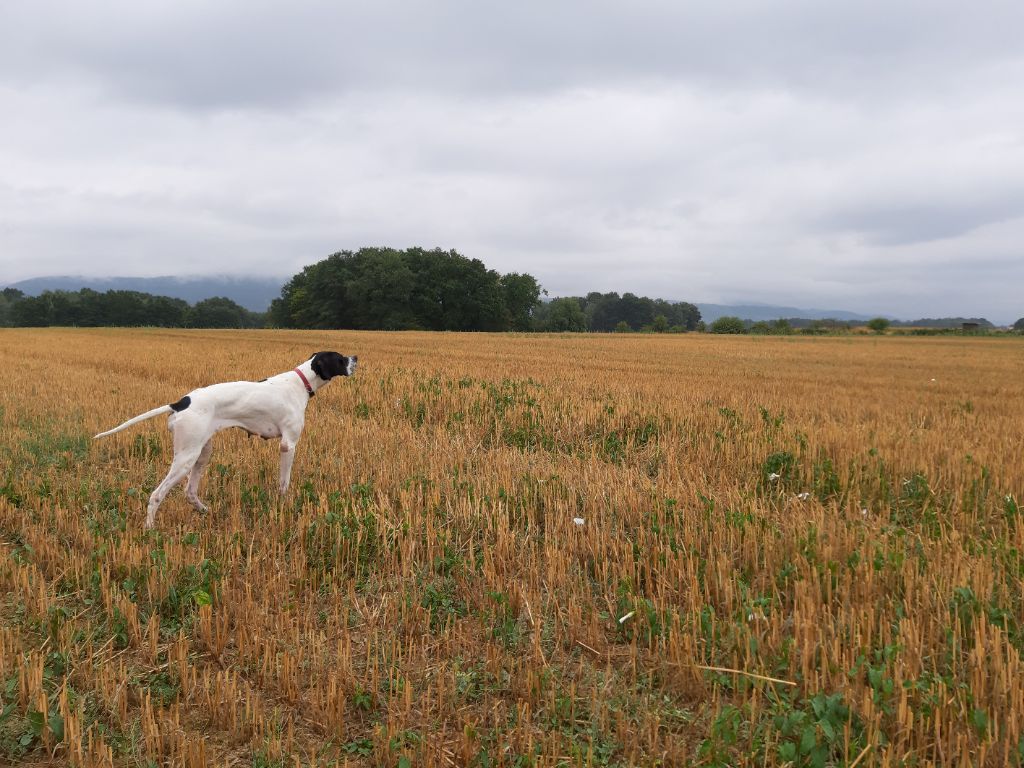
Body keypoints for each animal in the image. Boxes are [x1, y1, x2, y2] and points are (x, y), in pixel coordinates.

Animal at [94, 354, 356, 528]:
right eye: (340, 359)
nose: (356, 357)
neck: (300, 382)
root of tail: (180, 402)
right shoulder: (288, 445)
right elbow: (284, 483)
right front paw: (284, 505)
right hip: (186, 458)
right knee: (156, 494)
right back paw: (150, 527)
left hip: (202, 453)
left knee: (189, 491)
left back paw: (203, 510)